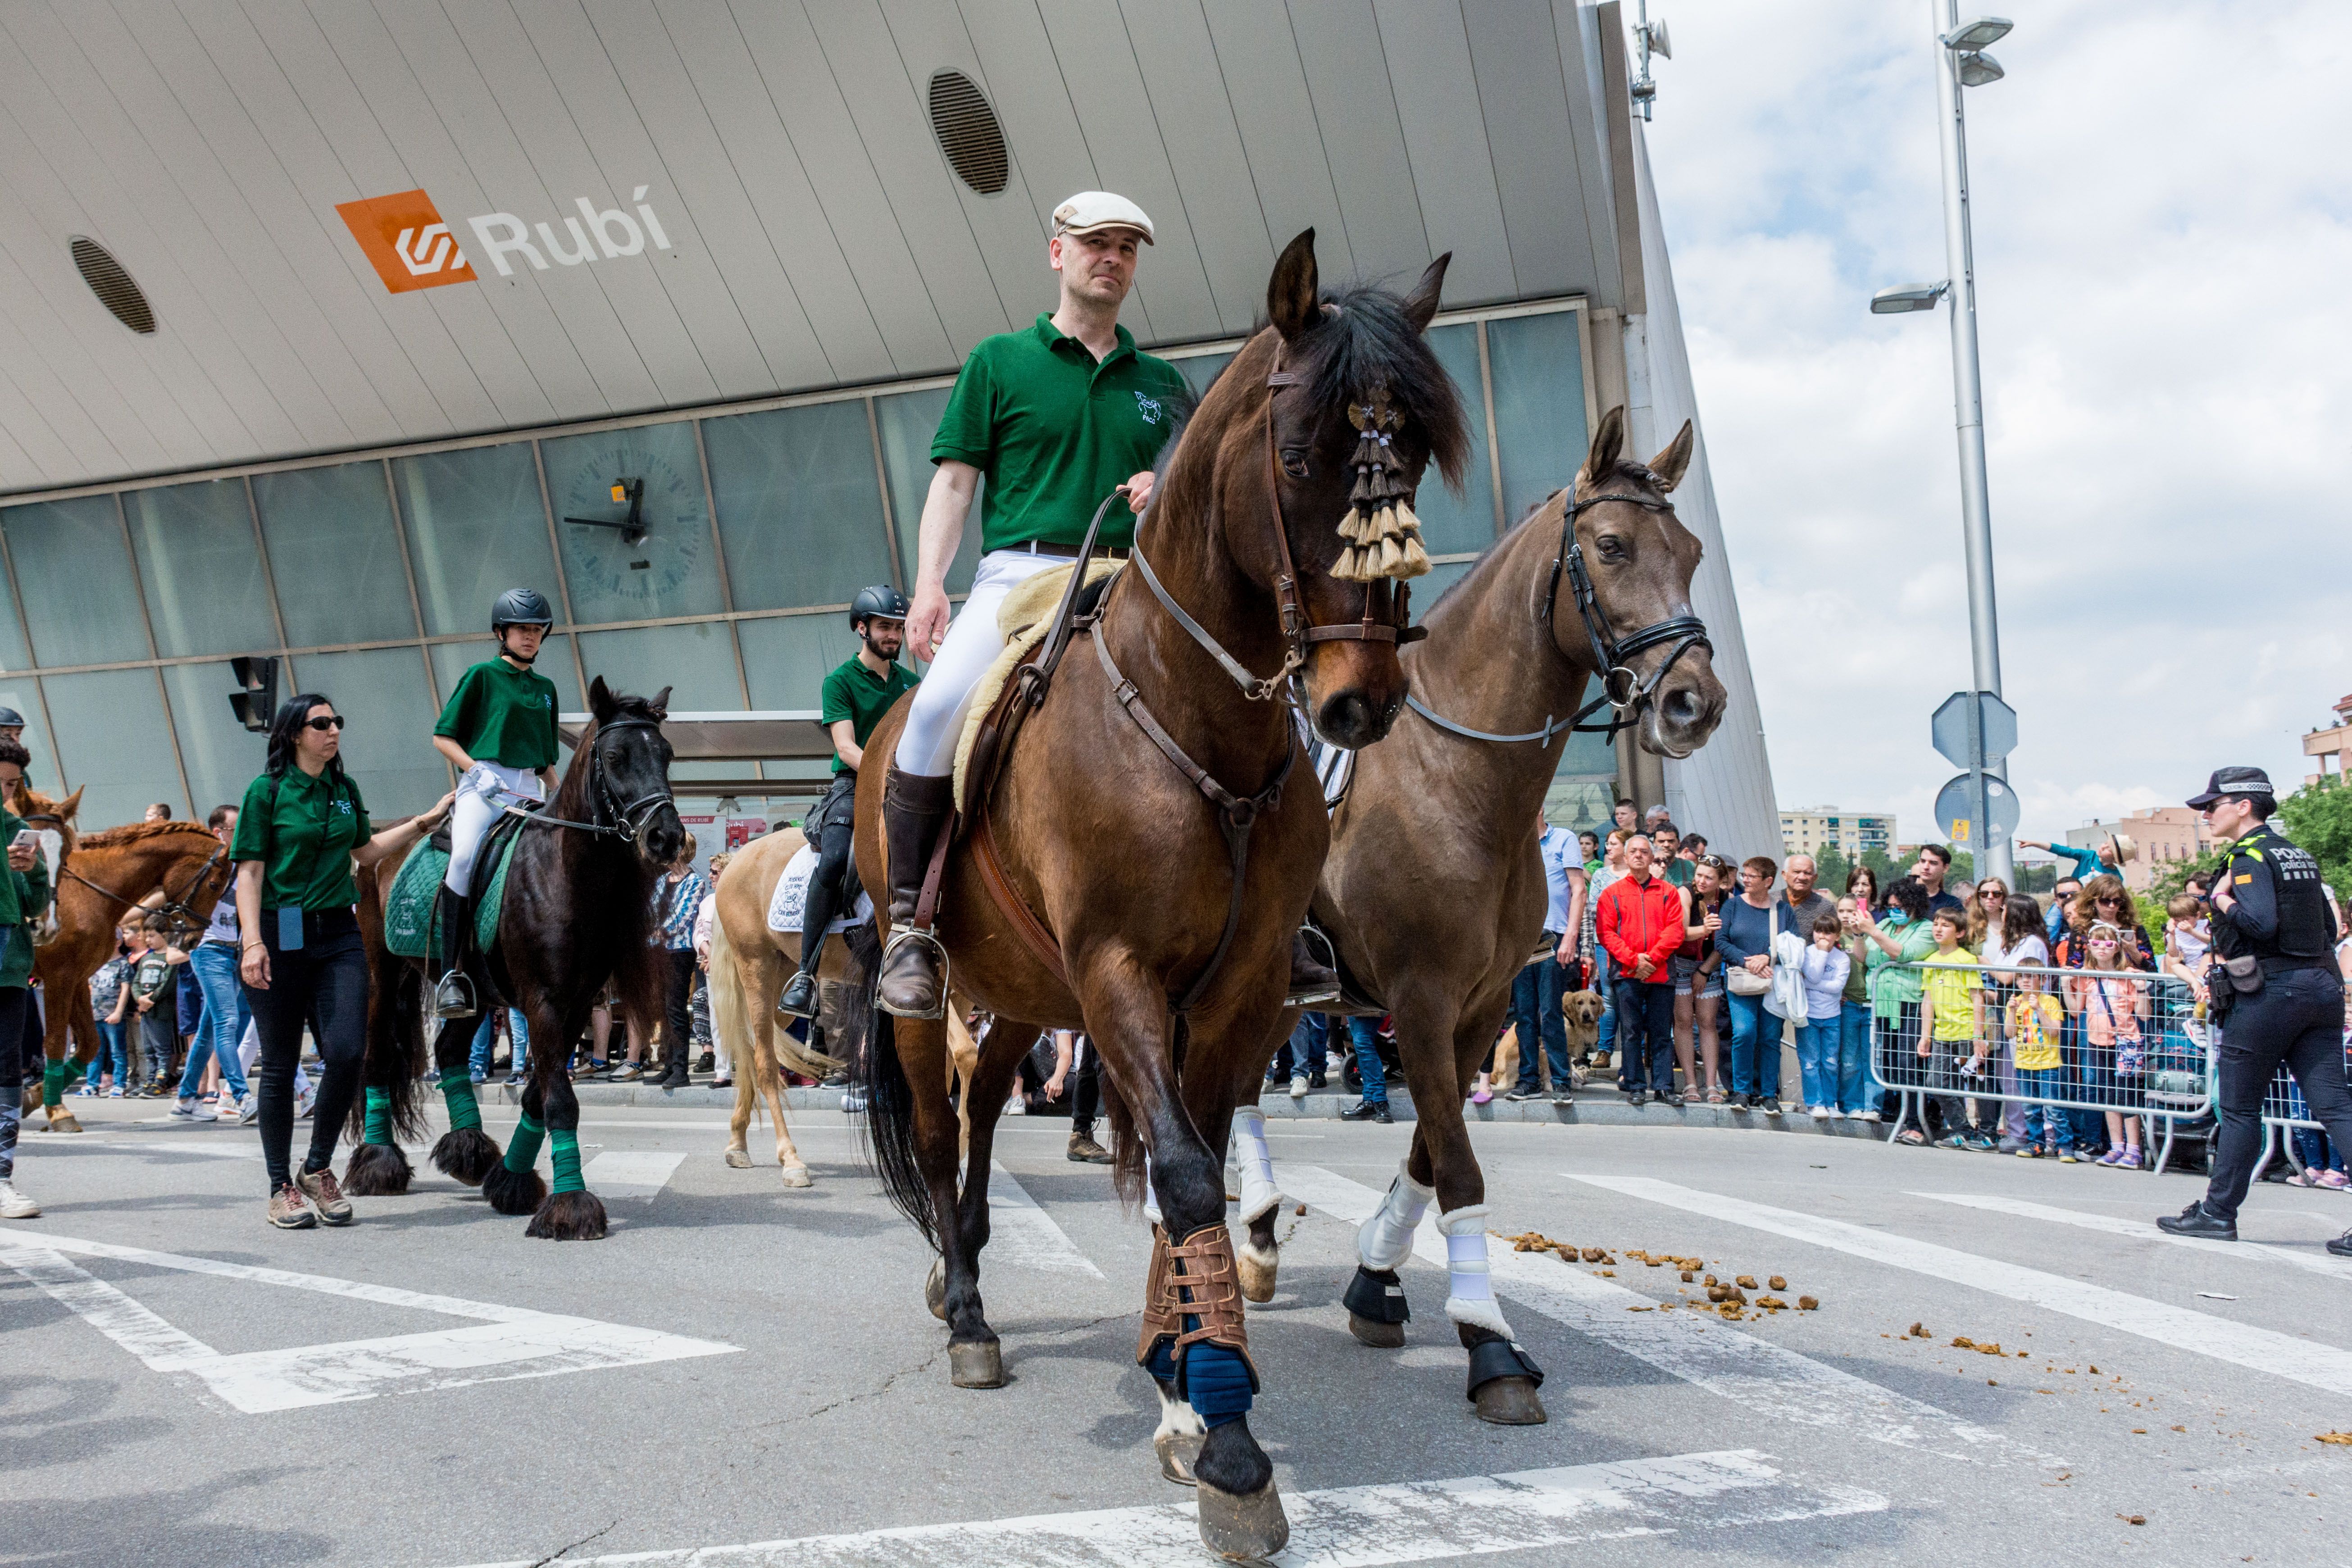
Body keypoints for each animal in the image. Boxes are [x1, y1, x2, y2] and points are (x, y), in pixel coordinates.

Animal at [24, 818, 229, 1133]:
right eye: (214, 884)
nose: (193, 940)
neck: (90, 893)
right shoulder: (60, 976)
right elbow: (57, 1041)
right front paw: (58, 1111)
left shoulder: (78, 978)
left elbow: (91, 1045)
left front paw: (33, 1097)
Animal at [343, 682, 687, 1241]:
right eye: (616, 756)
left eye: (667, 754)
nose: (667, 837)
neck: (565, 874)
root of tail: (379, 842)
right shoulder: (544, 1001)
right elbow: (560, 1101)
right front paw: (571, 1206)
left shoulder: (575, 1004)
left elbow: (538, 1096)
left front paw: (513, 1182)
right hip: (383, 974)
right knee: (378, 1058)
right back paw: (379, 1164)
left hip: (474, 991)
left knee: (450, 1050)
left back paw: (469, 1152)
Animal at [856, 227, 1458, 1561]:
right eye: (1299, 456)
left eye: (1410, 463)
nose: (1359, 703)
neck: (1191, 726)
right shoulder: (1118, 972)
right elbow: (1181, 1177)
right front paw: (1227, 1439)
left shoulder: (1234, 993)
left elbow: (1195, 1172)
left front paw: (1182, 1389)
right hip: (941, 988)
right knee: (939, 1124)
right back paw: (965, 1311)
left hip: (1025, 995)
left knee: (985, 1117)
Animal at [1251, 402, 1731, 1420]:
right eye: (1612, 545)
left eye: (1693, 552)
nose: (1693, 703)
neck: (1457, 778)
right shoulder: (1423, 999)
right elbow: (1459, 1163)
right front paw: (1490, 1342)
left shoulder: (1479, 1008)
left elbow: (1431, 1155)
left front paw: (1376, 1279)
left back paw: (1258, 1240)